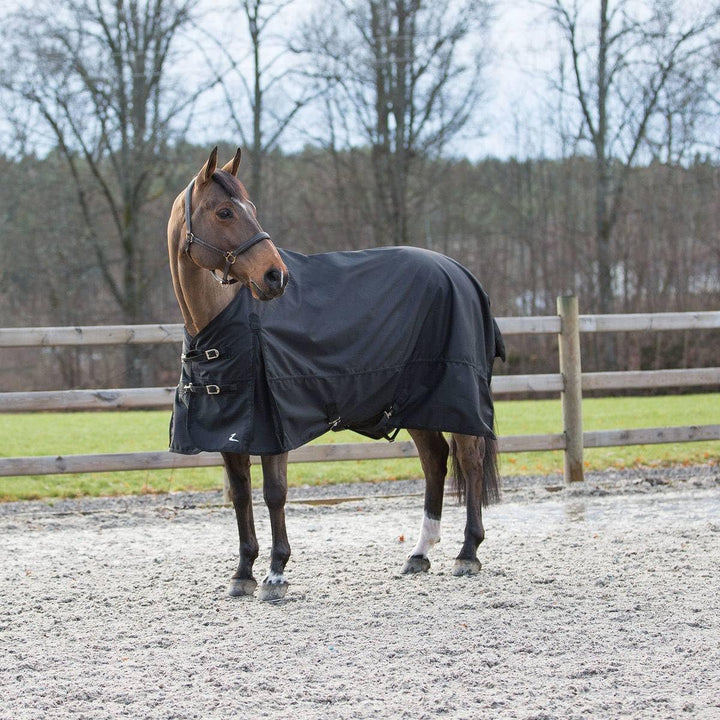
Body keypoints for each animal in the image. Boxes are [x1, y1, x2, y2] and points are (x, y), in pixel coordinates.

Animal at [167, 147, 505, 601]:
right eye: (224, 212)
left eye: (251, 208)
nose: (275, 276)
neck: (225, 320)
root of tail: (462, 273)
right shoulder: (231, 434)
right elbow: (240, 496)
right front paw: (243, 574)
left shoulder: (274, 428)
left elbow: (274, 494)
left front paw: (276, 574)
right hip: (417, 405)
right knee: (435, 462)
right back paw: (419, 554)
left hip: (457, 399)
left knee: (469, 461)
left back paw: (467, 553)